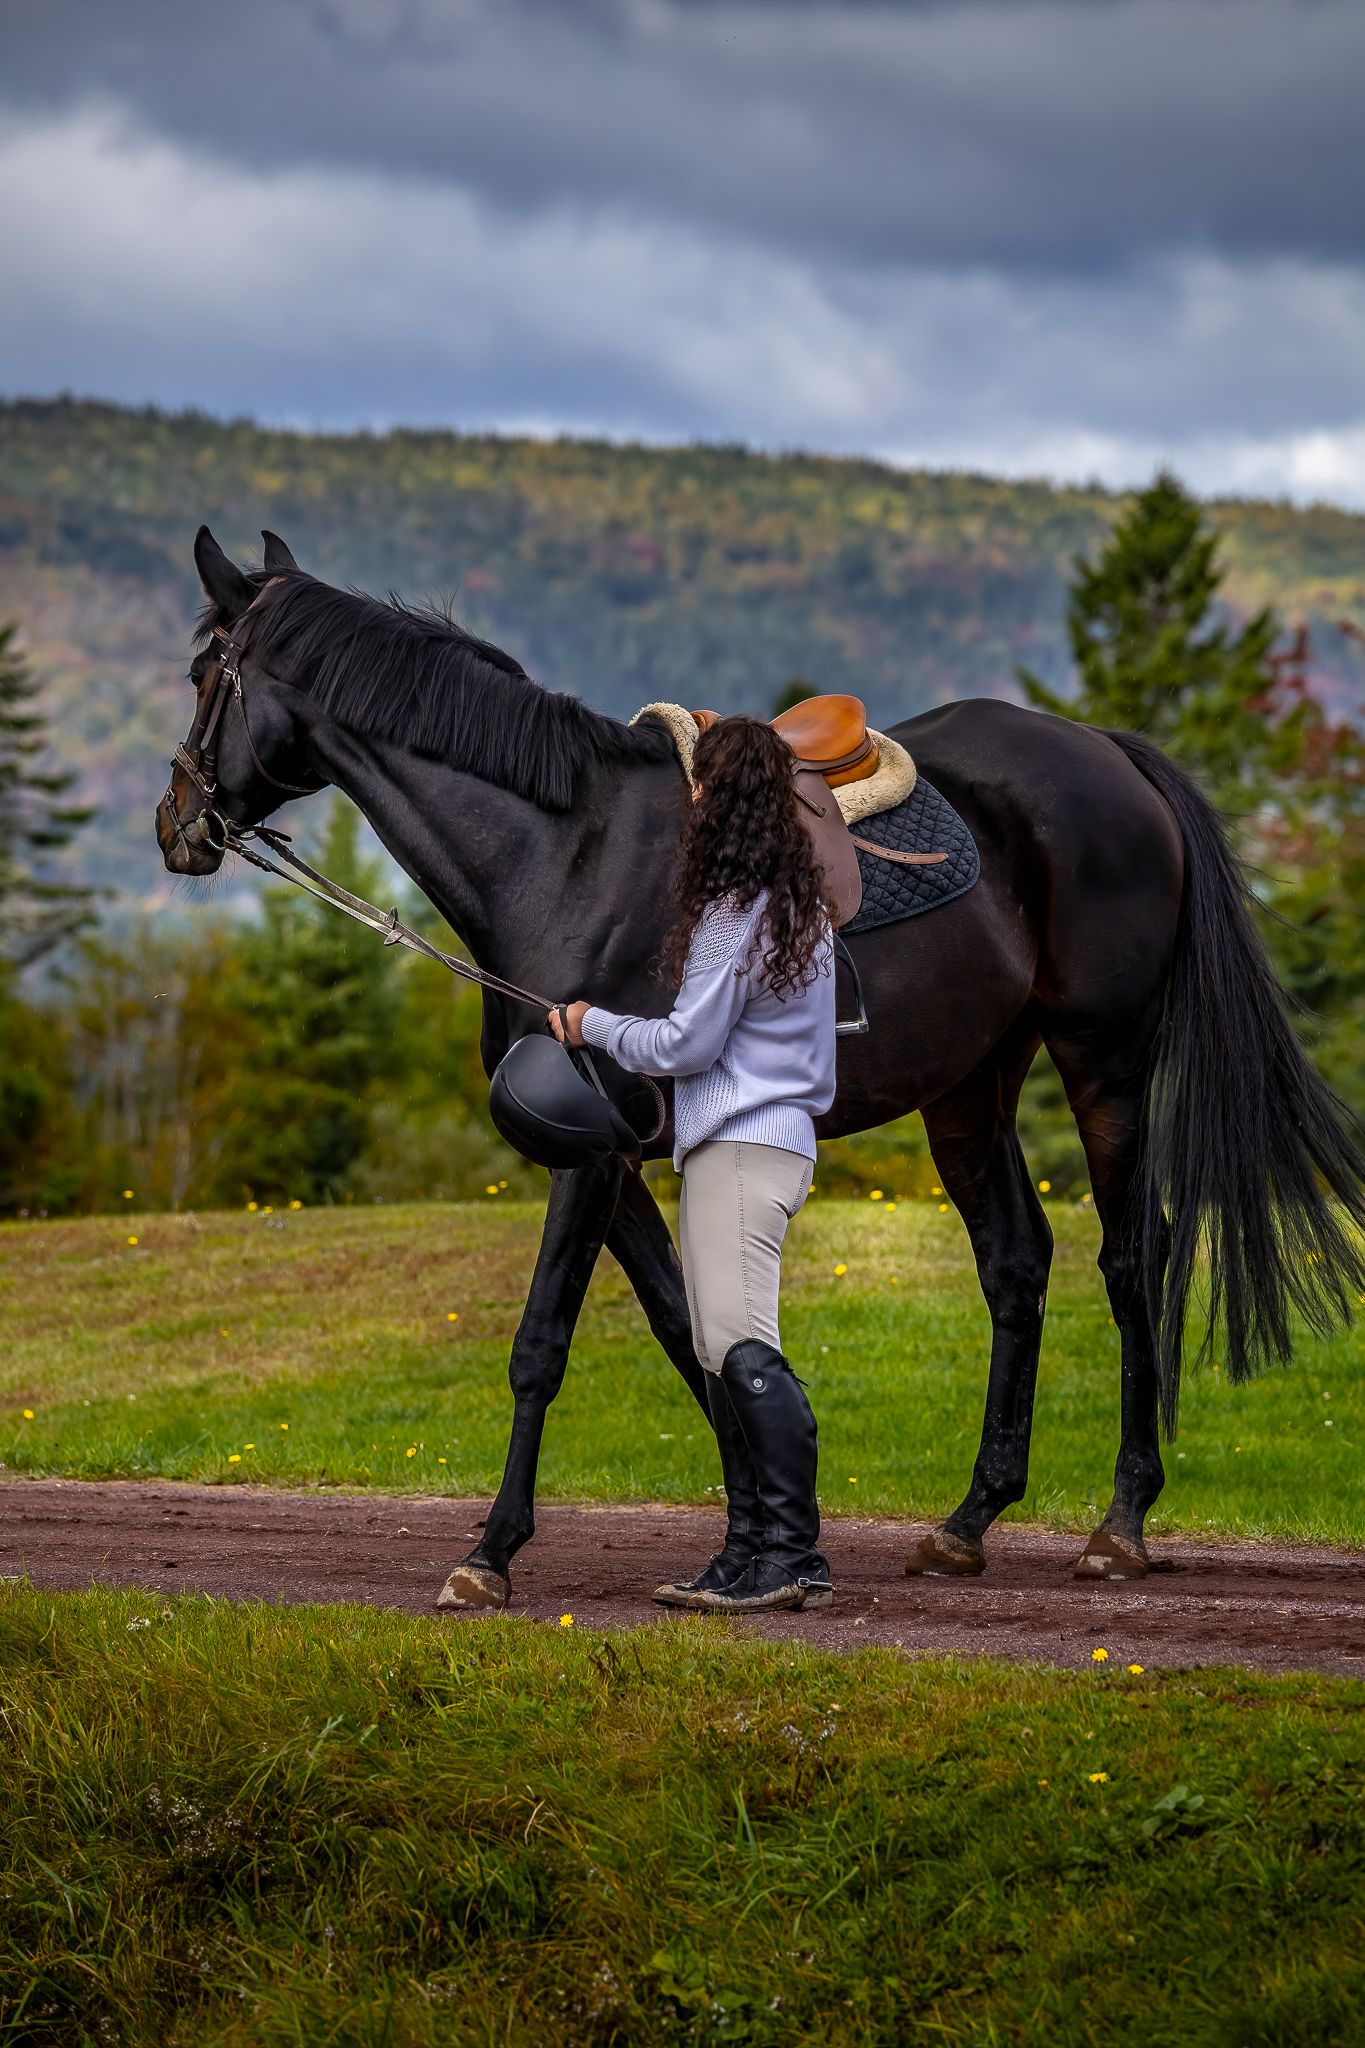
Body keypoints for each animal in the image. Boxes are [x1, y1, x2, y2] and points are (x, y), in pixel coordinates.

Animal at [157, 525, 1365, 1610]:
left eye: (203, 672)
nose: (176, 821)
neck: (565, 858)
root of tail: (1112, 754)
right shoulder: (620, 1157)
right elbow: (693, 1339)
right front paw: (764, 1534)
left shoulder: (585, 1162)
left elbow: (543, 1342)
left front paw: (491, 1551)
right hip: (971, 1085)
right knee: (1016, 1265)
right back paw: (970, 1519)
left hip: (1102, 1061)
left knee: (1132, 1257)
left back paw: (1121, 1522)